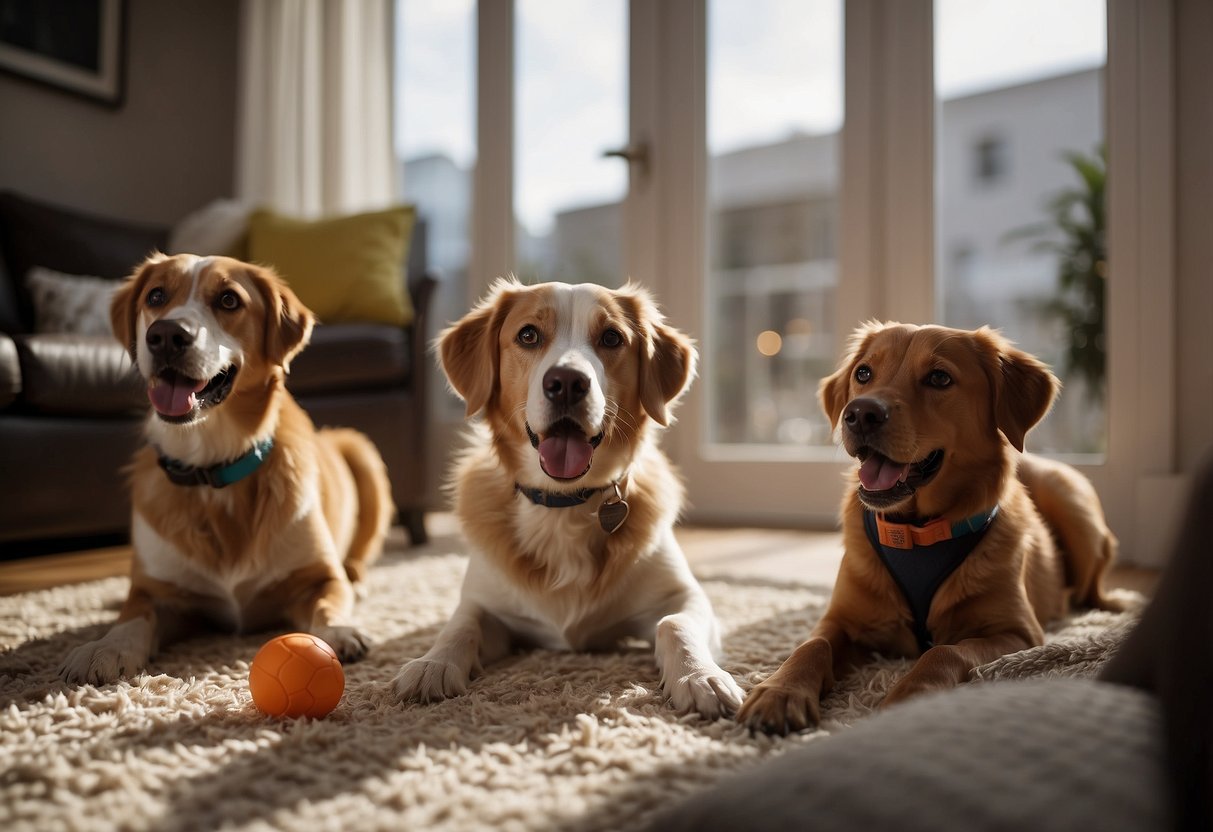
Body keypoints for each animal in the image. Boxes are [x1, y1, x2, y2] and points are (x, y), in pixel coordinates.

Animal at [59, 257, 390, 688]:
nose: (166, 335)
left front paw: (339, 631)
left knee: (356, 562)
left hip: (361, 451)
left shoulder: (318, 576)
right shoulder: (157, 593)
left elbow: (328, 603)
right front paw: (105, 648)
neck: (213, 468)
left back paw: (359, 582)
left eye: (229, 300)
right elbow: (132, 617)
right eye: (156, 296)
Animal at [393, 281, 742, 722]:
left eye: (611, 338)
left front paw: (700, 677)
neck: (563, 506)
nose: (566, 383)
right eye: (528, 335)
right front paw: (432, 665)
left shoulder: (683, 597)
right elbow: (459, 625)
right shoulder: (484, 603)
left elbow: (673, 625)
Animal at [732, 322, 1120, 732]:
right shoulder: (840, 619)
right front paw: (781, 690)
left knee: (1091, 587)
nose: (860, 414)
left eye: (939, 378)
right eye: (863, 373)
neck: (916, 532)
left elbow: (946, 651)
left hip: (1070, 499)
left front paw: (910, 696)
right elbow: (811, 644)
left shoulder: (1018, 632)